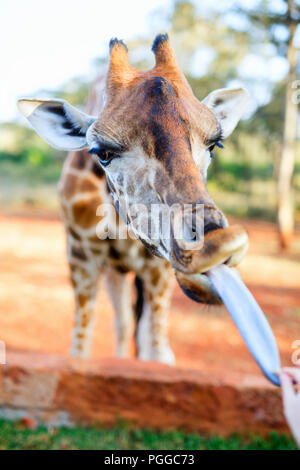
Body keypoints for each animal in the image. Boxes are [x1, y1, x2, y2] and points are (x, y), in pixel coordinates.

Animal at [17, 34, 250, 364]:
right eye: (103, 152)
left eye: (214, 145)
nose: (215, 246)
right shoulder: (81, 255)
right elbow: (81, 349)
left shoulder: (158, 268)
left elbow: (157, 349)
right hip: (115, 270)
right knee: (125, 323)